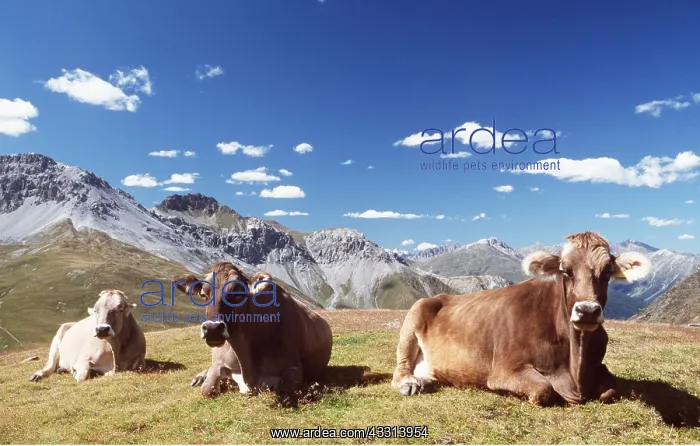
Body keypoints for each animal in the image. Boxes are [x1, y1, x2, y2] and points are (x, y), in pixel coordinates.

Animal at [173, 263, 333, 397]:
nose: (213, 329)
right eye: (203, 295)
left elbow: (282, 387)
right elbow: (207, 388)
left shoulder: (295, 367)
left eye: (238, 294)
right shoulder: (221, 362)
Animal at [391, 231, 651, 406]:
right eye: (565, 270)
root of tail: (439, 297)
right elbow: (543, 390)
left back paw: (426, 380)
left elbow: (610, 389)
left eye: (607, 272)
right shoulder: (504, 370)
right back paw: (411, 384)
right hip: (413, 316)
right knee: (399, 371)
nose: (587, 310)